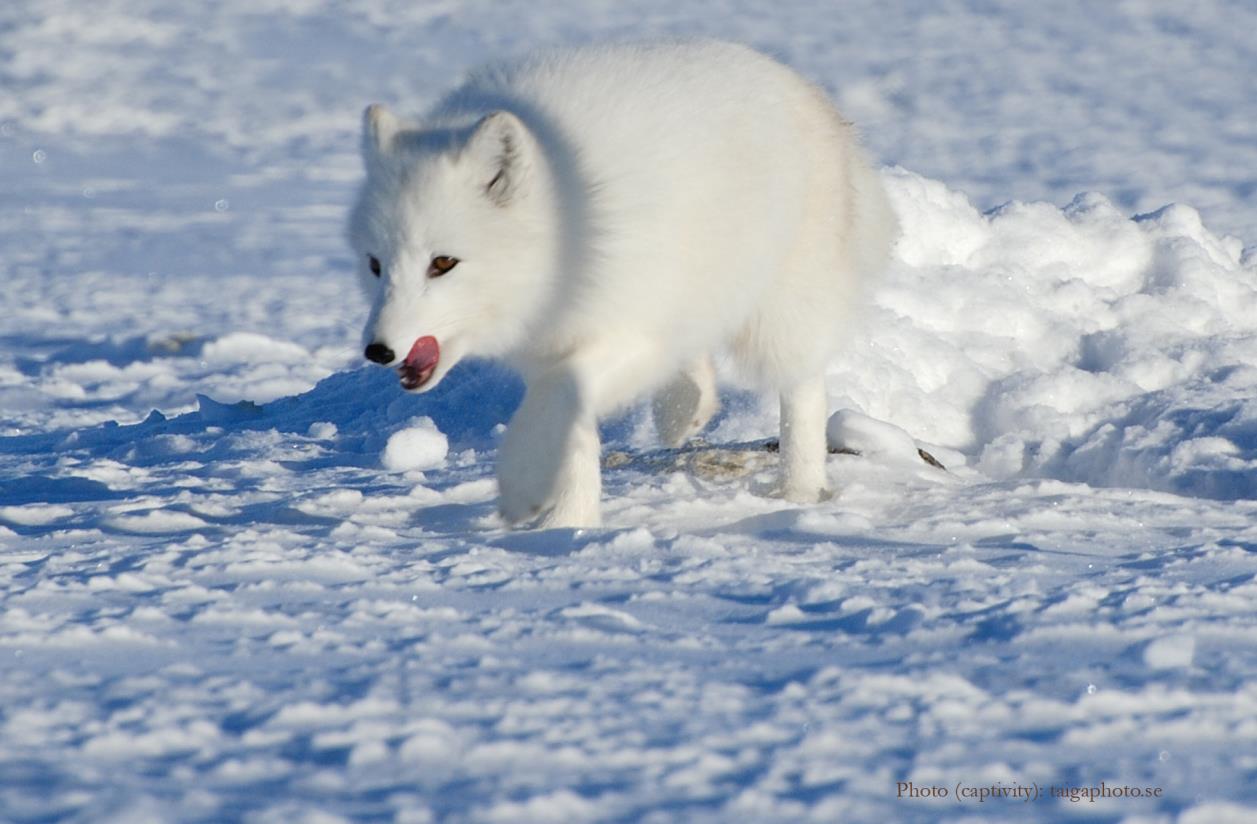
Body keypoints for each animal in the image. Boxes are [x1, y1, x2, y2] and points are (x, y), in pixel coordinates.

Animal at [349, 38, 900, 527]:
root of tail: (798, 83)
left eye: (443, 263)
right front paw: (567, 527)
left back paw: (800, 493)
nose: (378, 350)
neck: (564, 228)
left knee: (801, 386)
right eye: (375, 265)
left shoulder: (626, 334)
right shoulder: (557, 347)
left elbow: (556, 401)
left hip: (782, 305)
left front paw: (526, 489)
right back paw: (685, 414)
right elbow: (569, 431)